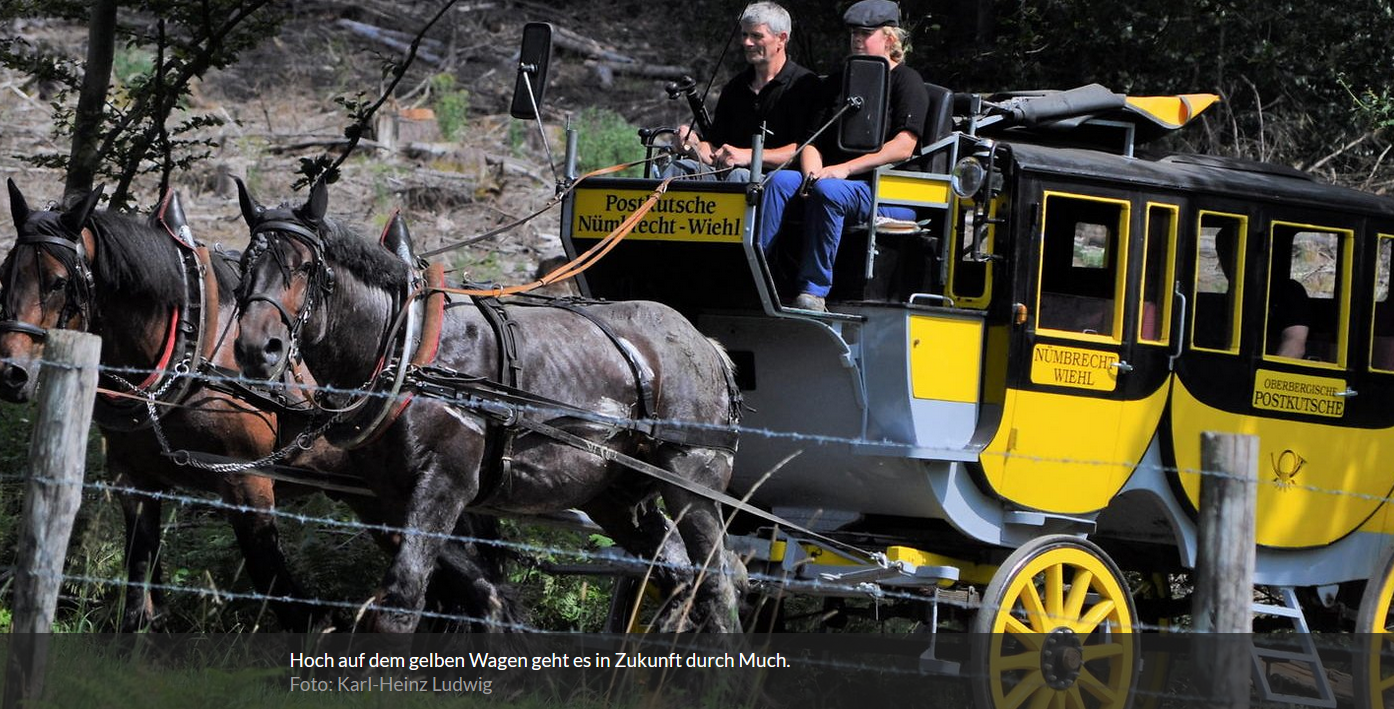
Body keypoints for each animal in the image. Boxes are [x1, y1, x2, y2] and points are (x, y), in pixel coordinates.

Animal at [0, 181, 515, 629]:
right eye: (7, 273)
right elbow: (140, 595)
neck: (191, 338)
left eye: (58, 282)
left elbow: (275, 584)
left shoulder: (247, 483)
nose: (12, 372)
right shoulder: (135, 482)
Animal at [234, 181, 747, 629]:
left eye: (304, 267)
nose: (258, 349)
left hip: (691, 479)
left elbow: (404, 597)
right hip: (616, 497)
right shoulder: (395, 495)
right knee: (679, 576)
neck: (408, 347)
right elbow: (483, 591)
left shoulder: (445, 483)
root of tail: (704, 343)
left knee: (717, 584)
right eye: (244, 265)